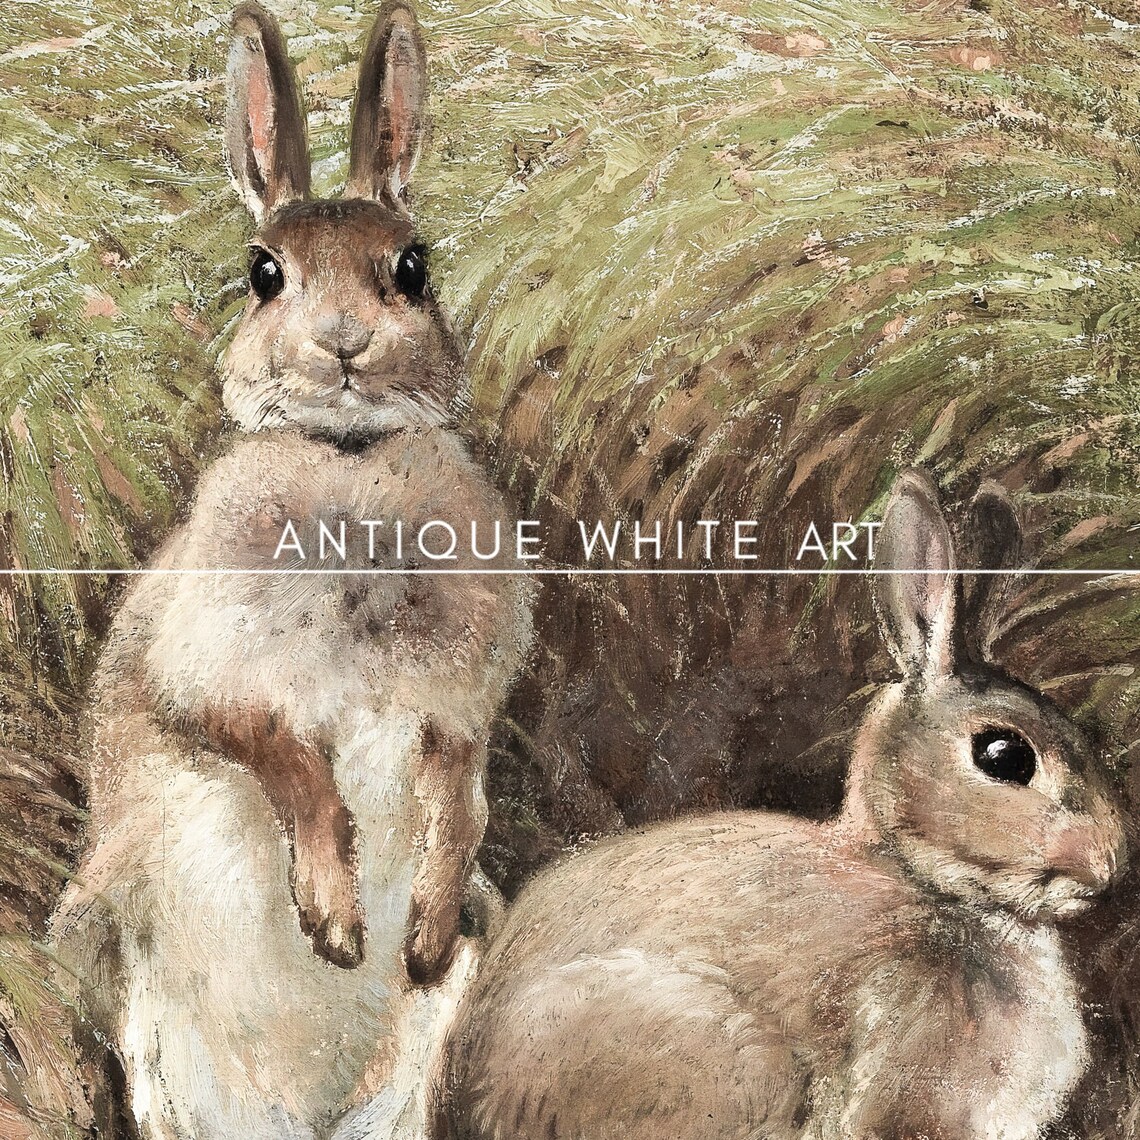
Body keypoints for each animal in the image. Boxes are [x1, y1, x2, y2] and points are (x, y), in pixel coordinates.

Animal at [50, 3, 533, 1138]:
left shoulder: (456, 709)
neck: (346, 464)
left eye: (414, 266)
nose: (344, 344)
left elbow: (459, 795)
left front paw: (418, 933)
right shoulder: (201, 682)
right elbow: (290, 763)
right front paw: (336, 924)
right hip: (148, 1025)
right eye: (264, 272)